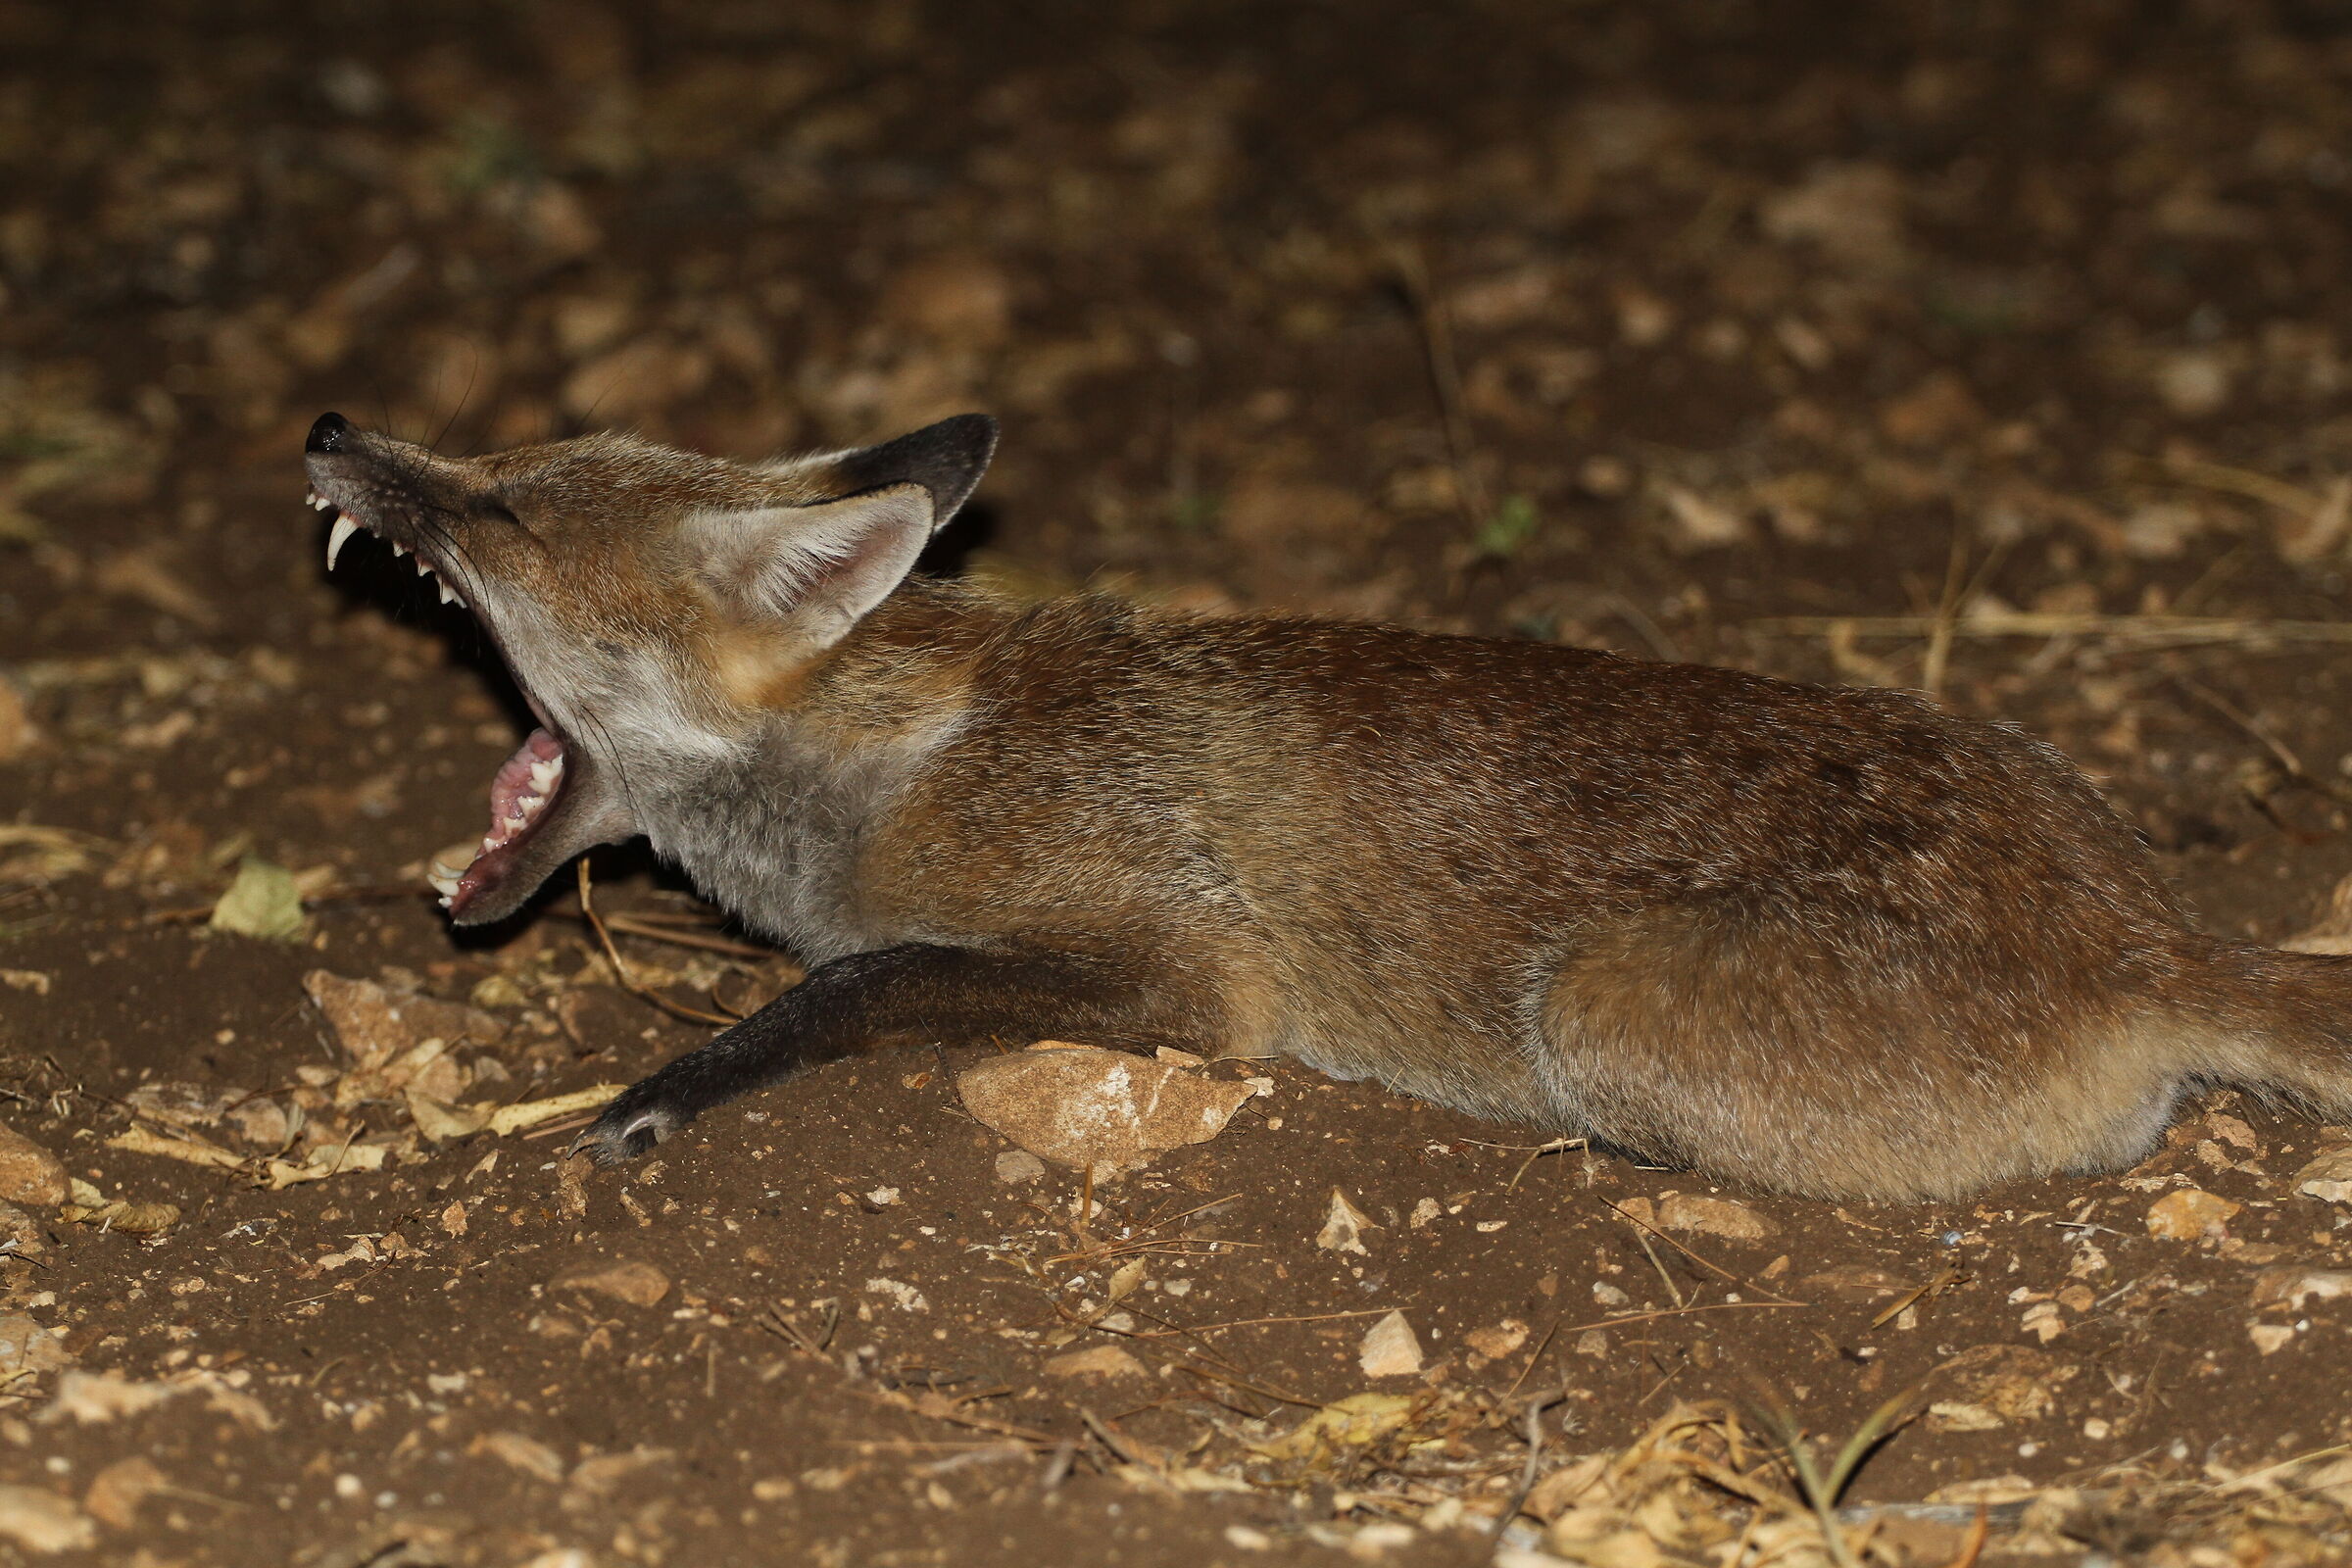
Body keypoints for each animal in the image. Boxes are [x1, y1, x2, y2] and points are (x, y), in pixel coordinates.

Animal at [298, 408, 2352, 1201]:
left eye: (503, 509)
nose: (328, 433)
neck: (895, 763)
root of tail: (2150, 935)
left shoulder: (1184, 974)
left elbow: (854, 983)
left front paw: (668, 1087)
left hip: (1601, 1014)